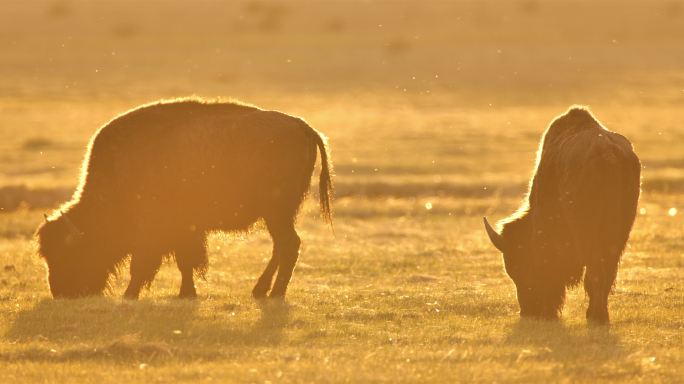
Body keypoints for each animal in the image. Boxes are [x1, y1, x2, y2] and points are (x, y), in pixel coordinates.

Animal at [35, 97, 334, 300]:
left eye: (69, 252)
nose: (61, 292)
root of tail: (302, 126)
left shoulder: (156, 234)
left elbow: (145, 266)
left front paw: (130, 295)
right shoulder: (183, 232)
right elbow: (184, 263)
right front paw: (186, 293)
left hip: (277, 212)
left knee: (289, 245)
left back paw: (274, 293)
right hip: (277, 215)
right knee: (281, 247)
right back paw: (260, 290)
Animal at [480, 107, 640, 324]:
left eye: (519, 265)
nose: (529, 311)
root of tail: (607, 154)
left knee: (596, 271)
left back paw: (595, 315)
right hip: (618, 232)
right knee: (606, 270)